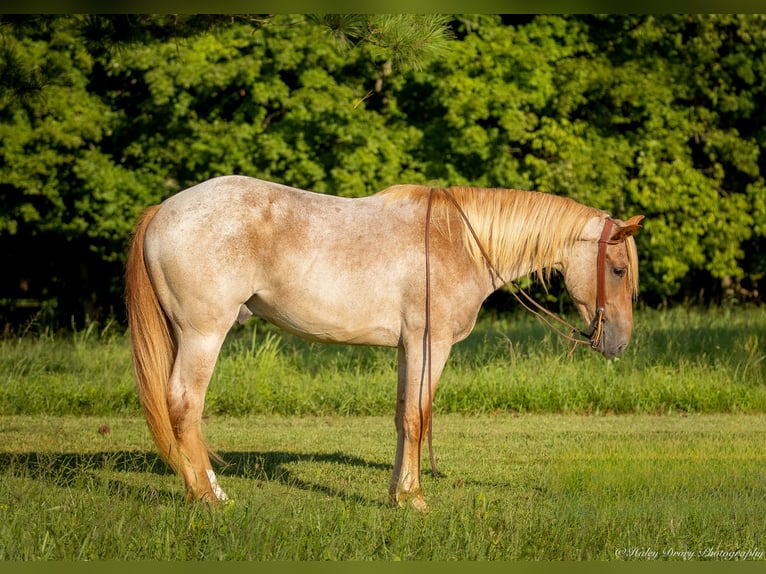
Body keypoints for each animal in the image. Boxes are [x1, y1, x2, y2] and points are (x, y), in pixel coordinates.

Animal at [124, 174, 640, 508]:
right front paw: (414, 499)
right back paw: (210, 497)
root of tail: (163, 210)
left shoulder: (409, 348)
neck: (458, 244)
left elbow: (401, 417)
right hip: (203, 334)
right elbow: (418, 417)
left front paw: (398, 493)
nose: (619, 344)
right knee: (184, 406)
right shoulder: (431, 345)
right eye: (617, 270)